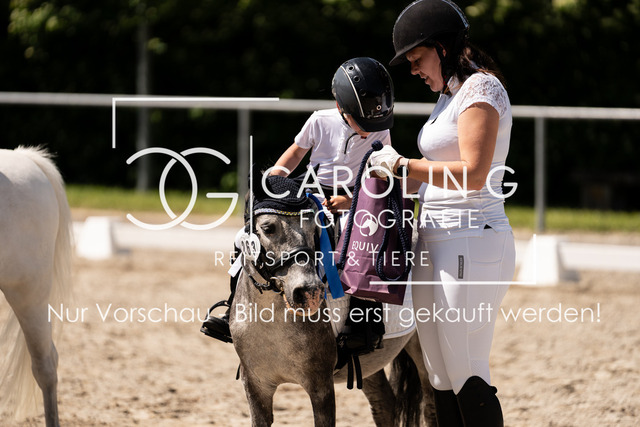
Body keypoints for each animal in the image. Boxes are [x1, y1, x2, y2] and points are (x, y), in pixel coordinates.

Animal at [229, 175, 435, 426]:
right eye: (268, 228)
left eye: (314, 228)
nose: (309, 293)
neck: (269, 319)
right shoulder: (255, 386)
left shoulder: (320, 386)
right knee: (385, 402)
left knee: (430, 407)